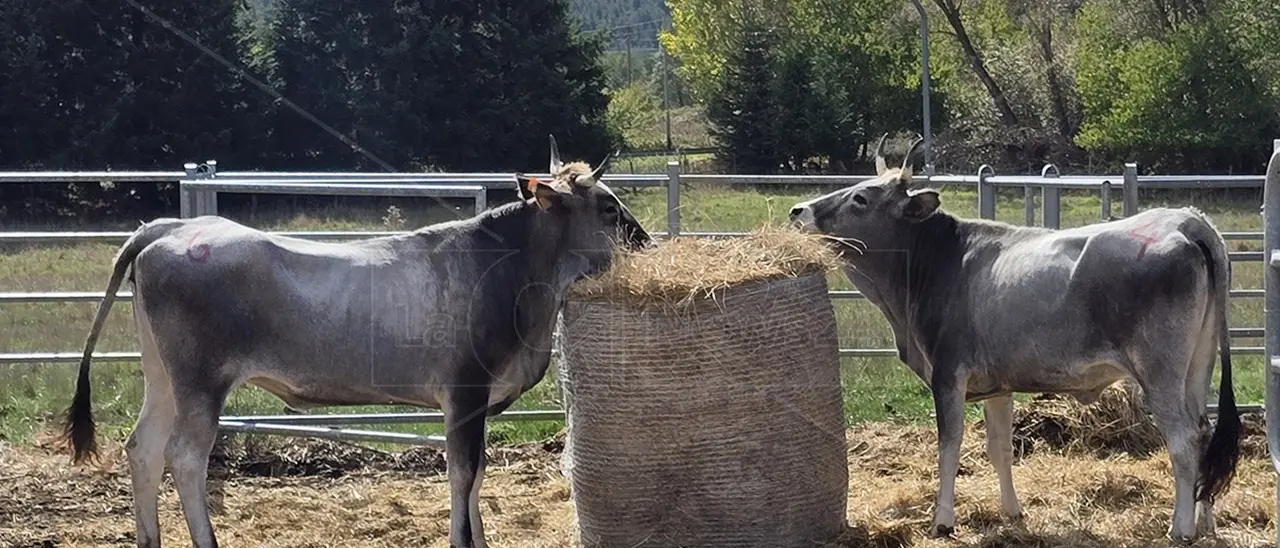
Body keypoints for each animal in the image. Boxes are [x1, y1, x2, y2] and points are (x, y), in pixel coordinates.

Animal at [59, 136, 652, 548]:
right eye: (608, 206)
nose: (646, 240)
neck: (516, 277)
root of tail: (170, 228)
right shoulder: (464, 392)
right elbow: (463, 473)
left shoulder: (476, 401)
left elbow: (477, 474)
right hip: (201, 382)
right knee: (183, 456)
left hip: (162, 377)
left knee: (143, 448)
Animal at [788, 134, 1240, 542]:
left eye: (861, 198)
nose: (798, 211)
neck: (938, 261)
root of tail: (1185, 220)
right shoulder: (997, 385)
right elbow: (999, 448)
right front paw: (1011, 512)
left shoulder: (947, 373)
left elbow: (949, 445)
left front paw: (942, 520)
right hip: (1197, 367)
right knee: (1204, 431)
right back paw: (1206, 522)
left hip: (1160, 372)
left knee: (1183, 438)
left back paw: (1180, 527)